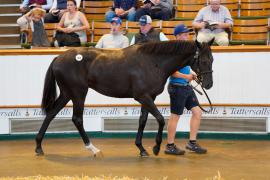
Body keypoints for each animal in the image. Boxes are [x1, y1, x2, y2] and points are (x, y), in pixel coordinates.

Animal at [35, 39, 214, 156]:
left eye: (212, 59)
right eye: (204, 61)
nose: (209, 84)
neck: (152, 62)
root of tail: (58, 58)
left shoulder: (149, 98)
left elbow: (142, 120)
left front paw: (141, 148)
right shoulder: (143, 97)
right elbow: (161, 119)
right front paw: (156, 148)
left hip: (67, 93)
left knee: (51, 114)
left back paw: (38, 146)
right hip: (78, 93)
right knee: (77, 119)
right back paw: (93, 149)